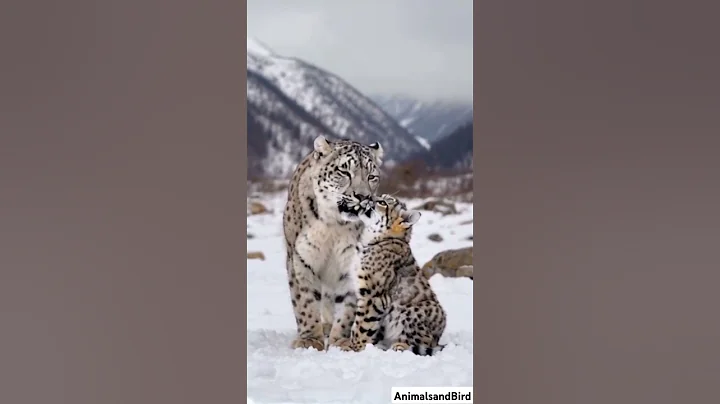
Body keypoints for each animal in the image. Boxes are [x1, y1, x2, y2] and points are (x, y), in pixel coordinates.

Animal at [282, 135, 384, 351]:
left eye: (372, 176)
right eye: (344, 171)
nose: (363, 196)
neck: (333, 226)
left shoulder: (351, 262)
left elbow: (348, 305)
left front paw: (341, 341)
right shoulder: (301, 259)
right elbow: (306, 301)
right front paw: (310, 339)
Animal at [334, 193, 448, 356]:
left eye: (382, 202)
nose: (366, 196)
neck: (365, 243)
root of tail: (439, 335)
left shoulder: (372, 295)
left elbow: (361, 325)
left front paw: (355, 347)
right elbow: (359, 324)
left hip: (412, 311)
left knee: (424, 341)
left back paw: (400, 346)